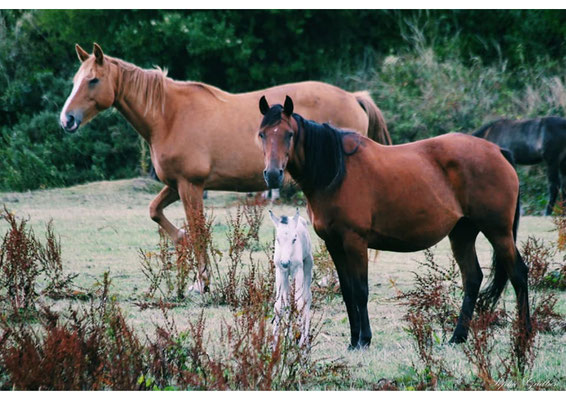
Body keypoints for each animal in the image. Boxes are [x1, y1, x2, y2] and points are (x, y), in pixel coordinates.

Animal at [60, 43, 392, 292]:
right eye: (76, 80)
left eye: (93, 80)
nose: (67, 120)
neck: (169, 115)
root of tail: (354, 98)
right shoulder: (176, 185)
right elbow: (156, 211)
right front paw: (180, 240)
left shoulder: (190, 186)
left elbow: (198, 231)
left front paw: (201, 282)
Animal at [270, 208, 316, 346]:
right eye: (277, 239)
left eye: (294, 239)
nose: (286, 263)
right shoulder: (280, 271)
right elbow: (279, 305)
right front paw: (275, 341)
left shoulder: (297, 270)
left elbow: (299, 303)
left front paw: (300, 340)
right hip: (286, 276)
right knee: (288, 299)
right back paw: (288, 335)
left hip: (307, 266)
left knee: (307, 297)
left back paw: (305, 337)